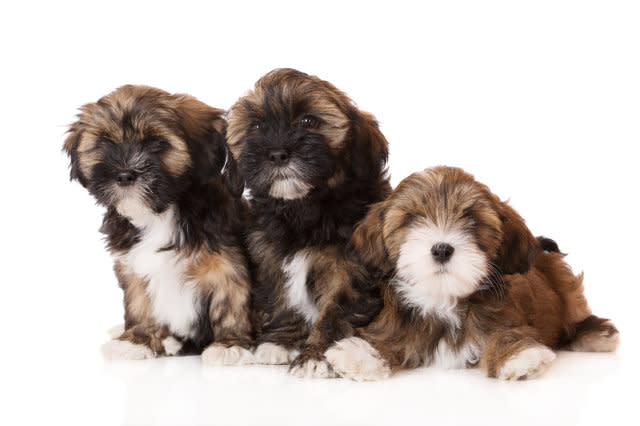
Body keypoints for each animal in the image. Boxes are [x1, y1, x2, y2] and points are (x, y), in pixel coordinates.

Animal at [64, 85, 255, 364]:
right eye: (105, 143)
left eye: (156, 143)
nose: (124, 174)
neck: (160, 212)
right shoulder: (132, 267)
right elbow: (139, 304)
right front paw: (137, 339)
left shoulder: (226, 264)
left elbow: (231, 302)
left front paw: (230, 345)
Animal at [226, 68, 390, 378]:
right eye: (256, 127)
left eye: (308, 121)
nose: (277, 153)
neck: (303, 208)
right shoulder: (270, 255)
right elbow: (280, 296)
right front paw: (280, 342)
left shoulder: (350, 271)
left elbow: (336, 313)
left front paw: (316, 356)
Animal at [328, 166, 616, 380]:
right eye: (410, 220)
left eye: (473, 220)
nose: (442, 249)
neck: (443, 300)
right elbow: (387, 336)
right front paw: (360, 354)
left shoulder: (505, 317)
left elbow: (507, 333)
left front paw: (518, 356)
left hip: (563, 280)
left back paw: (596, 335)